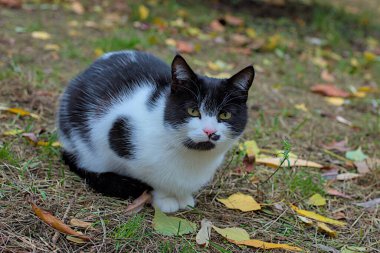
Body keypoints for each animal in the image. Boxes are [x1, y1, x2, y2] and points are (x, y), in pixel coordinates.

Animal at [58, 50, 254, 212]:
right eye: (193, 111)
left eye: (225, 114)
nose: (209, 131)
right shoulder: (117, 133)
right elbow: (151, 178)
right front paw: (165, 198)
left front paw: (183, 197)